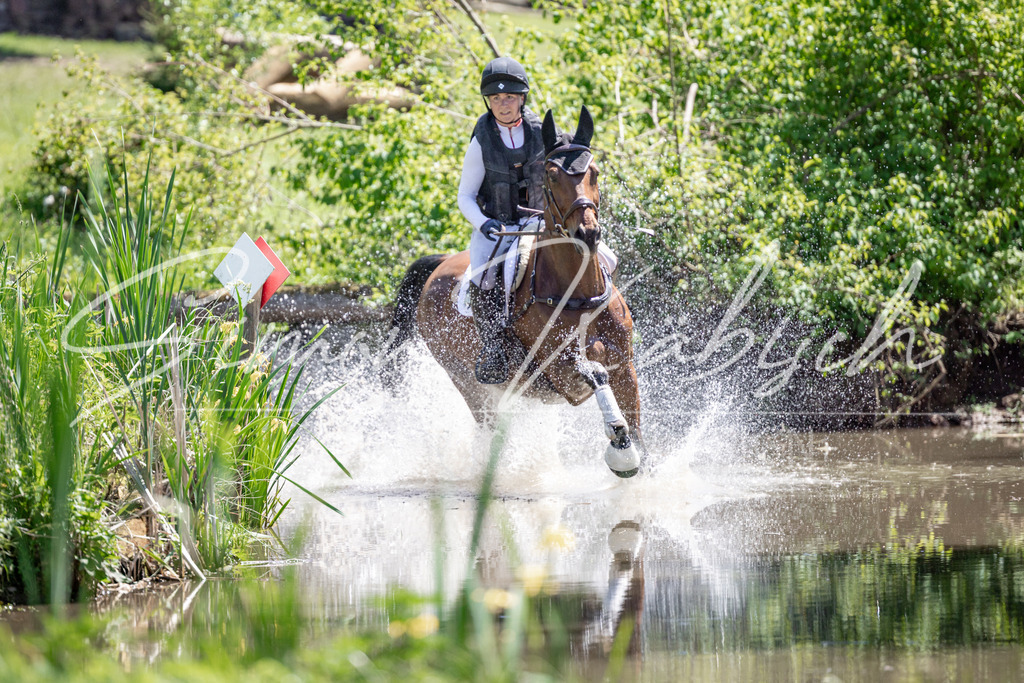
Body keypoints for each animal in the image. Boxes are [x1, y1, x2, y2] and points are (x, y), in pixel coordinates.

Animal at [382, 106, 645, 478]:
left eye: (593, 172)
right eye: (552, 176)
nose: (588, 233)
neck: (578, 293)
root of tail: (439, 266)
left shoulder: (625, 366)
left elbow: (637, 428)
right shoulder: (562, 372)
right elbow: (595, 373)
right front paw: (619, 445)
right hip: (466, 380)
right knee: (487, 427)